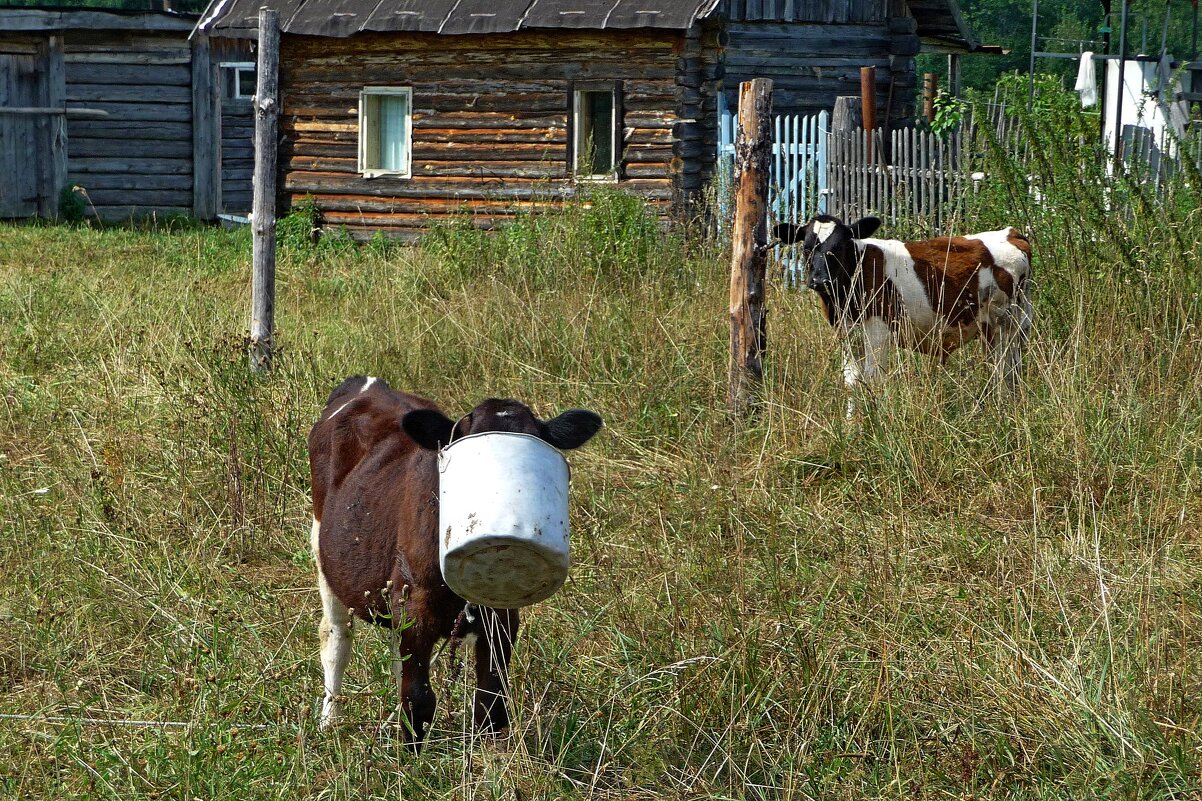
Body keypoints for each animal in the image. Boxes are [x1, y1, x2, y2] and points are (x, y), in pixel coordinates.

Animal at [302, 377, 598, 745]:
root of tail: (368, 383)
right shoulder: (416, 603)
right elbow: (418, 698)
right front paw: (409, 756)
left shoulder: (501, 615)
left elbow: (490, 701)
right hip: (323, 553)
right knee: (335, 638)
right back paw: (329, 721)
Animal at [778, 215, 1033, 408]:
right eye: (807, 248)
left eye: (839, 247)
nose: (820, 280)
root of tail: (1011, 233)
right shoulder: (848, 334)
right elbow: (852, 381)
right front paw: (853, 426)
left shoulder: (878, 332)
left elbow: (874, 378)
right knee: (1007, 371)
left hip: (1006, 324)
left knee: (1005, 372)